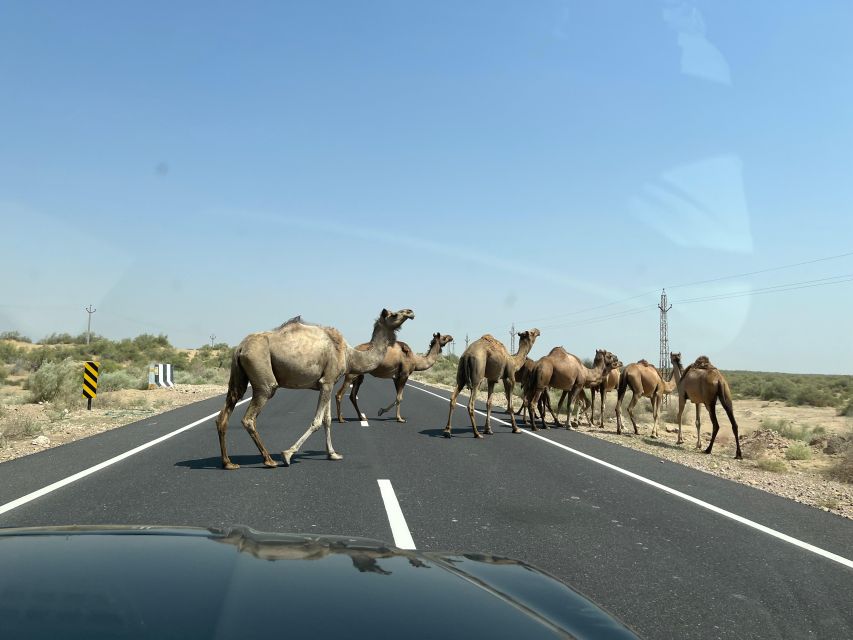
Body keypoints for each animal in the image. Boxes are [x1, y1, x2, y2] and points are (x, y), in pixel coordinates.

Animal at [215, 308, 415, 470]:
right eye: (394, 314)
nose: (410, 312)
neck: (349, 354)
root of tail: (240, 347)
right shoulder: (327, 381)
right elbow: (317, 421)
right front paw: (287, 454)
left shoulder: (326, 383)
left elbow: (327, 420)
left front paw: (333, 454)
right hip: (263, 378)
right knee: (249, 417)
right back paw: (269, 460)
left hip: (238, 379)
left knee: (224, 414)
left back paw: (228, 463)